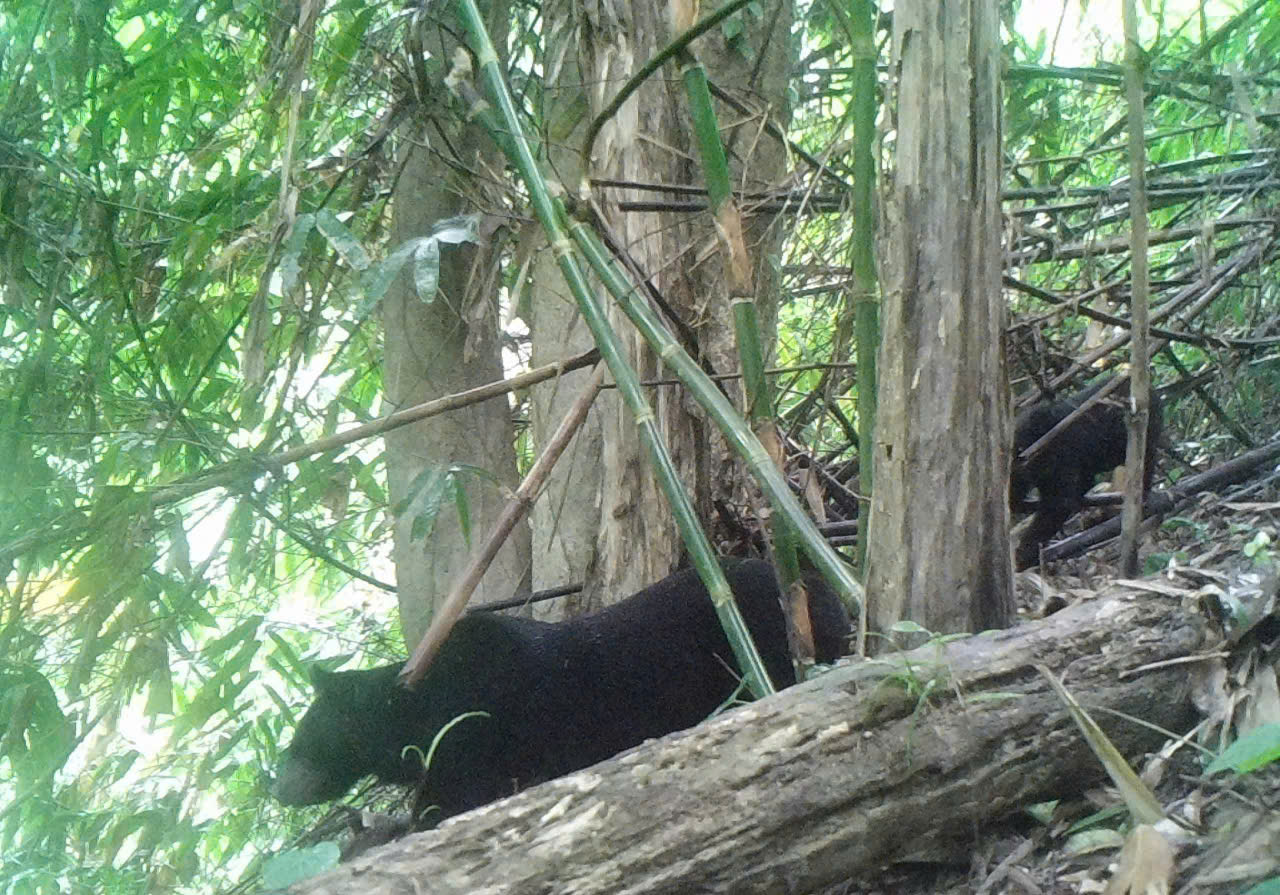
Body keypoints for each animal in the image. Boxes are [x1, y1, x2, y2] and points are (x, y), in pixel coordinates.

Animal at [270, 563, 849, 824]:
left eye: (303, 737)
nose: (278, 788)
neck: (417, 711)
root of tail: (823, 585)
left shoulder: (470, 749)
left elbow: (440, 810)